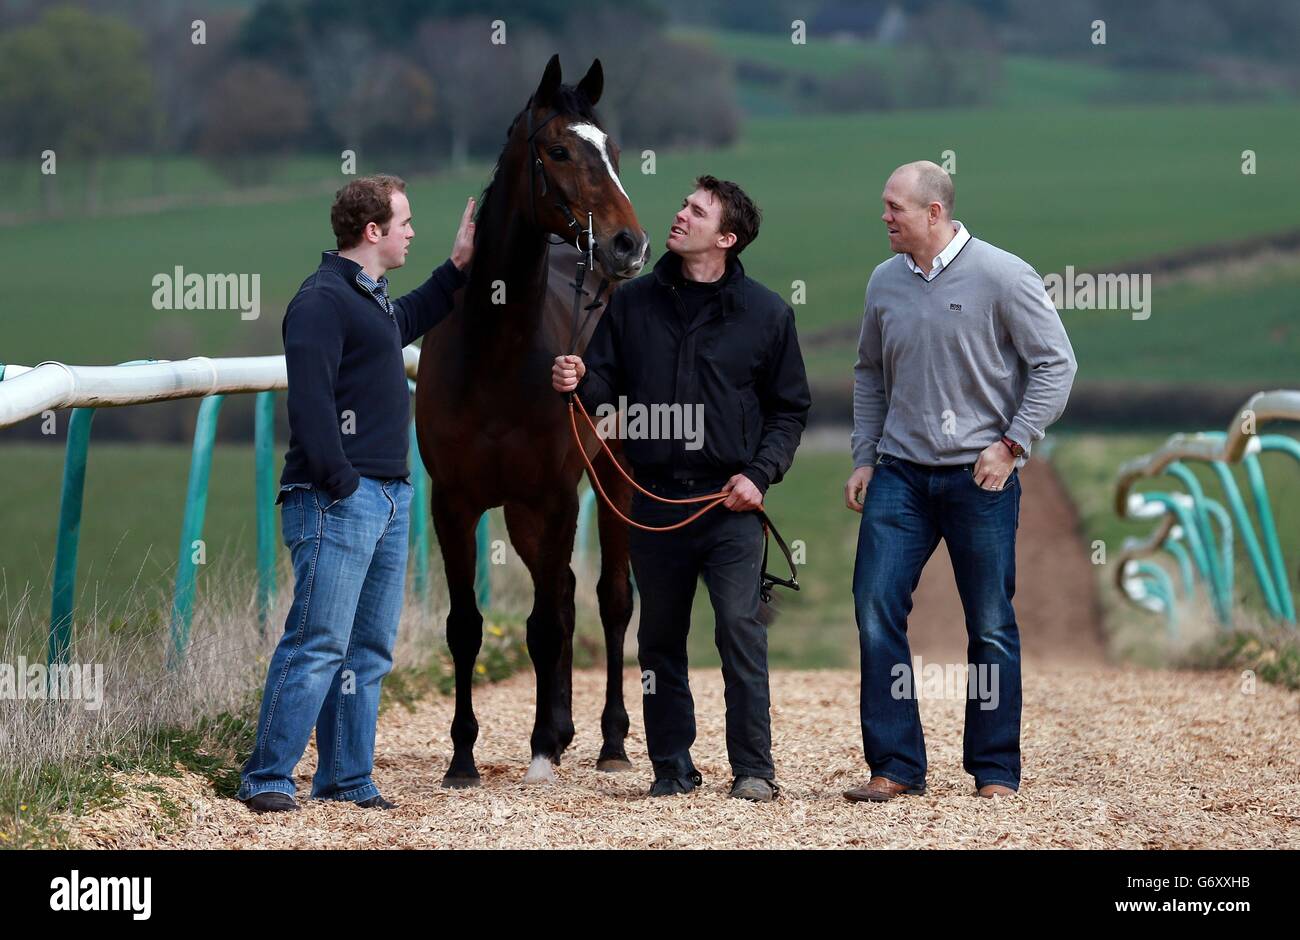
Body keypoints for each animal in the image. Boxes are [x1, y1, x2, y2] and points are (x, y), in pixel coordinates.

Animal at [416, 53, 650, 785]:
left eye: (615, 151)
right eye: (559, 150)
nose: (629, 244)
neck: (493, 355)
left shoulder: (555, 495)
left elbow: (549, 623)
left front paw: (544, 748)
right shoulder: (455, 502)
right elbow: (467, 626)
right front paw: (462, 757)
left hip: (613, 476)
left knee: (609, 598)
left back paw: (608, 741)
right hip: (521, 512)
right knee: (568, 592)